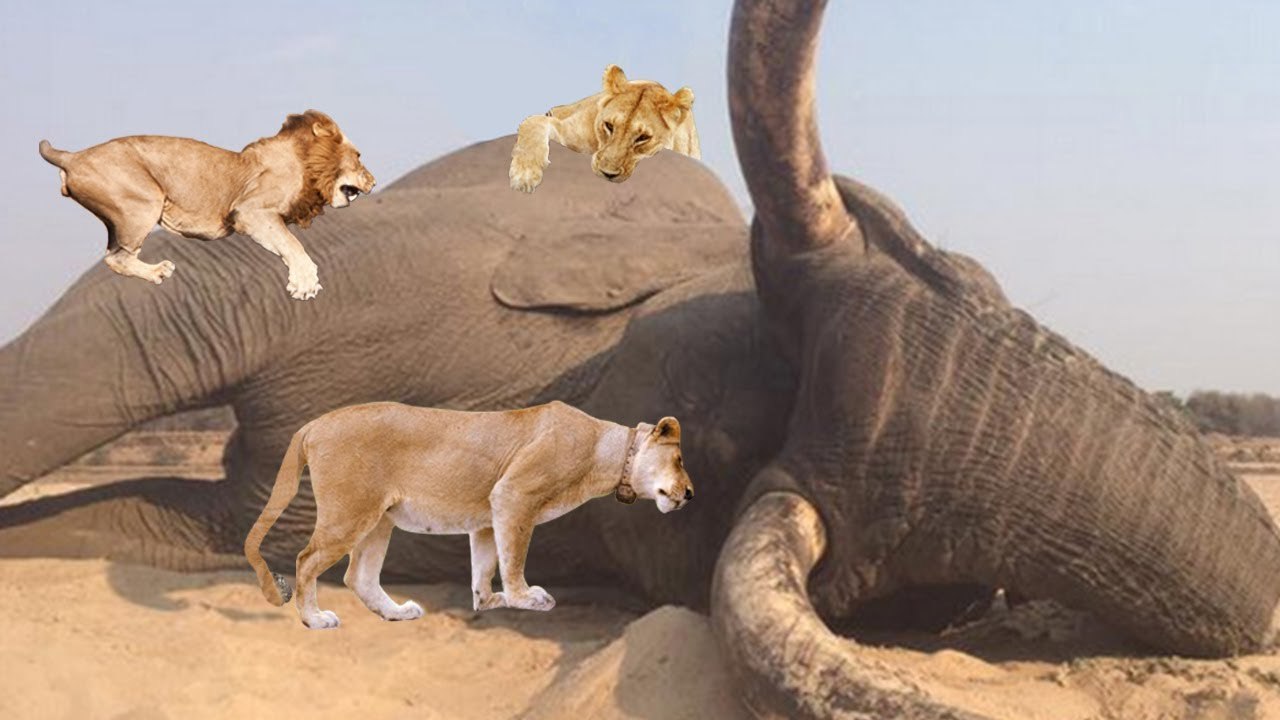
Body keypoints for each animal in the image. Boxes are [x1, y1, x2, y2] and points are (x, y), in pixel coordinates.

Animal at [38, 110, 375, 300]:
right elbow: (293, 244)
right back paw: (159, 271)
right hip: (143, 204)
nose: (373, 182)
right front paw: (305, 284)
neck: (307, 163)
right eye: (358, 156)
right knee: (116, 258)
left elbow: (285, 244)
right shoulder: (249, 211)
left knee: (114, 254)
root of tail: (73, 156)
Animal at [244, 400, 695, 629]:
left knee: (359, 576)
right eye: (679, 459)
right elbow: (514, 558)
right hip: (349, 514)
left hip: (379, 518)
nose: (690, 493)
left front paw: (489, 600)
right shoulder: (514, 495)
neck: (609, 451)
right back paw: (314, 619)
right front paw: (525, 597)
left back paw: (397, 613)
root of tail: (316, 422)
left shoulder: (486, 519)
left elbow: (485, 565)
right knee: (306, 561)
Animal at [509, 65, 699, 193]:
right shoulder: (569, 132)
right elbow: (533, 121)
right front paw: (524, 175)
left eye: (643, 137)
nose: (607, 173)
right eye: (609, 125)